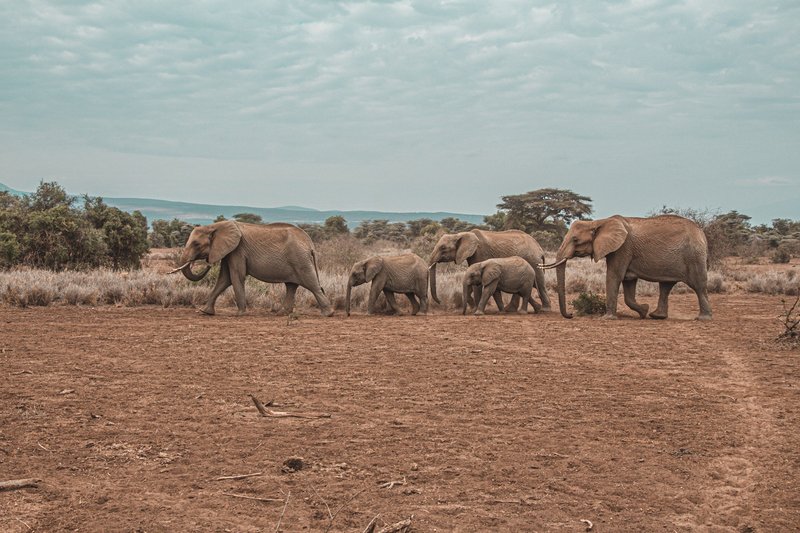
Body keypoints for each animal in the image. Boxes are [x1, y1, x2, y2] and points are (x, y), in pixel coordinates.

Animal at [175, 220, 334, 316]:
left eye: (196, 244)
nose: (207, 264)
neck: (215, 226)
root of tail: (310, 244)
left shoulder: (237, 250)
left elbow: (236, 276)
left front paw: (240, 314)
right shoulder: (229, 252)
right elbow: (224, 279)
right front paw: (205, 312)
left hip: (300, 260)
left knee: (312, 284)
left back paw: (328, 314)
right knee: (291, 285)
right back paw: (282, 313)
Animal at [544, 213, 712, 320]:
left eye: (575, 239)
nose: (571, 315)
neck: (599, 222)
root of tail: (701, 233)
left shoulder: (623, 248)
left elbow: (614, 276)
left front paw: (607, 318)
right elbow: (628, 283)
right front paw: (644, 310)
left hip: (694, 256)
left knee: (698, 285)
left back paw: (703, 318)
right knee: (666, 286)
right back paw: (656, 316)